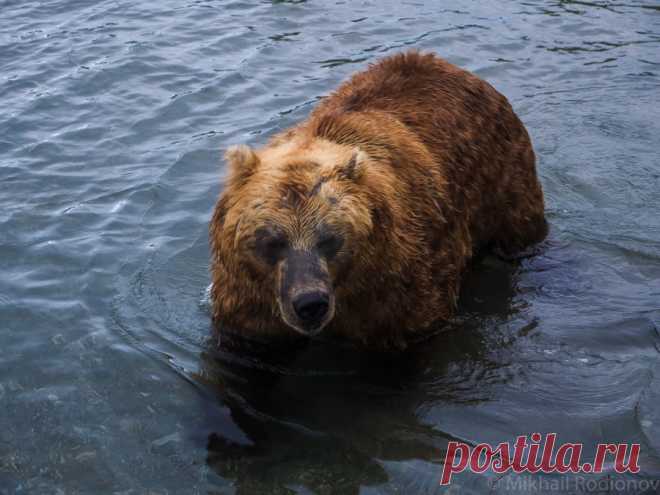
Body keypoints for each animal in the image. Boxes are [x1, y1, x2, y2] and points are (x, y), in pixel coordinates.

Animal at [211, 50, 548, 348]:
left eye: (330, 239)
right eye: (271, 241)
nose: (310, 303)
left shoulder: (399, 280)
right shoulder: (248, 295)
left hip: (503, 179)